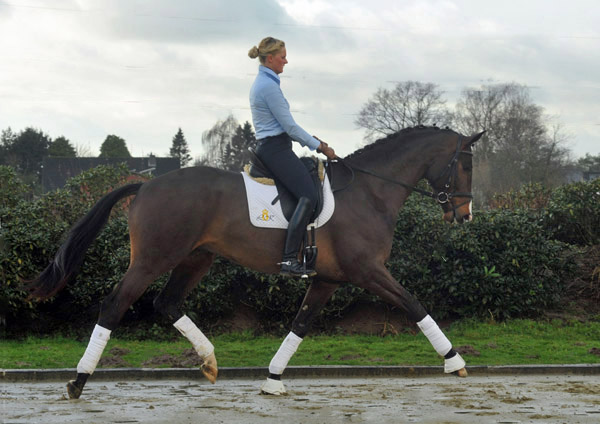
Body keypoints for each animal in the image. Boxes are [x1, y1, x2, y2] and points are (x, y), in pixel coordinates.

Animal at [28, 126, 486, 398]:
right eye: (464, 164)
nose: (465, 216)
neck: (370, 192)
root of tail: (145, 185)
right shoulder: (368, 271)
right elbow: (414, 304)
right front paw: (456, 362)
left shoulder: (328, 279)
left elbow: (300, 324)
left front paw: (273, 378)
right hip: (154, 259)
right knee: (114, 305)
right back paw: (78, 381)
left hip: (197, 258)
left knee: (167, 303)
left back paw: (210, 362)